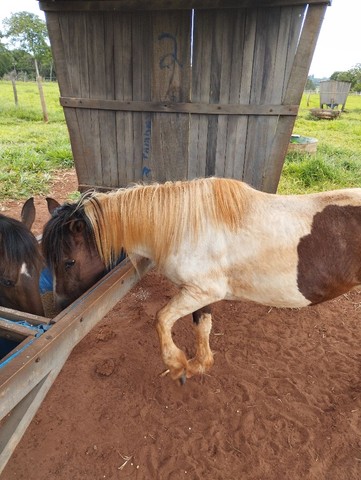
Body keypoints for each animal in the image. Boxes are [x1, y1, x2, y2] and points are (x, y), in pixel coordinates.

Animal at [42, 178, 361, 384]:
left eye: (68, 262)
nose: (60, 306)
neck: (185, 227)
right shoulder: (202, 294)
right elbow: (202, 326)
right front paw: (198, 365)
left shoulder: (201, 291)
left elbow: (161, 319)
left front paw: (177, 365)